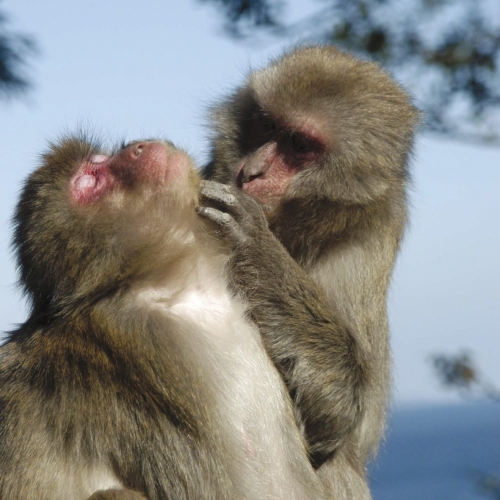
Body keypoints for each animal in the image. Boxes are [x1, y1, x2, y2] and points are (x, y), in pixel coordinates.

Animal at [197, 45, 420, 498]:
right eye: (266, 124)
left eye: (299, 144)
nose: (252, 171)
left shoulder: (364, 250)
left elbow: (340, 413)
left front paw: (255, 247)